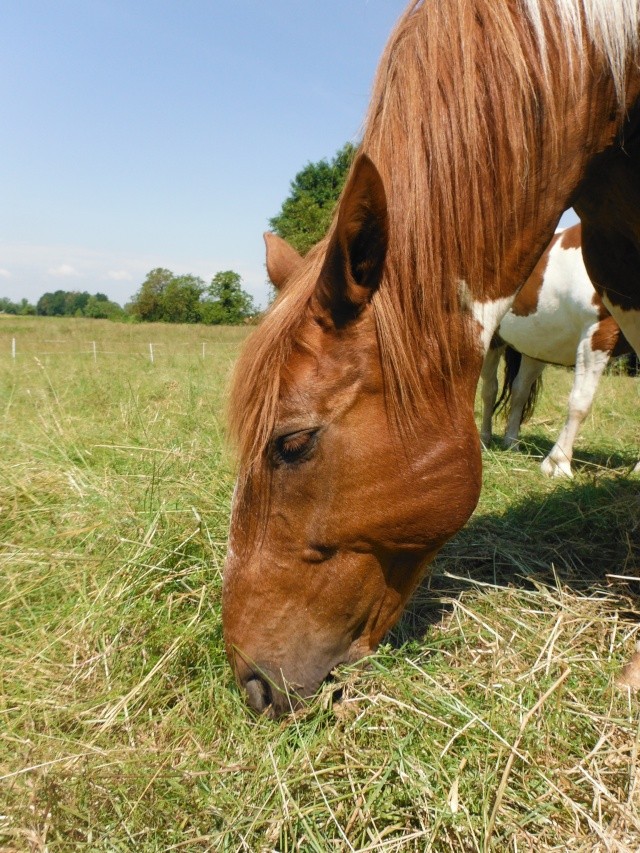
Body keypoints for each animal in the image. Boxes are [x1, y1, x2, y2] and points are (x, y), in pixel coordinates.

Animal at [480, 223, 636, 476]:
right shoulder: (597, 331)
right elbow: (580, 402)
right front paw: (558, 463)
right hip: (493, 340)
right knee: (490, 390)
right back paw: (484, 438)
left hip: (536, 348)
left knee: (519, 391)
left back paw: (511, 443)